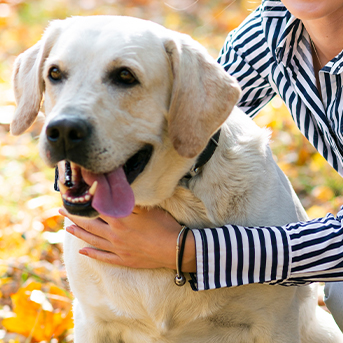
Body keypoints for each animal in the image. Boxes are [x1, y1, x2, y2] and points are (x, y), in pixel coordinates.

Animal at [10, 15, 343, 343]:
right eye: (54, 73)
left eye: (125, 76)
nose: (64, 130)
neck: (169, 200)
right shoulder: (91, 319)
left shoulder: (275, 322)